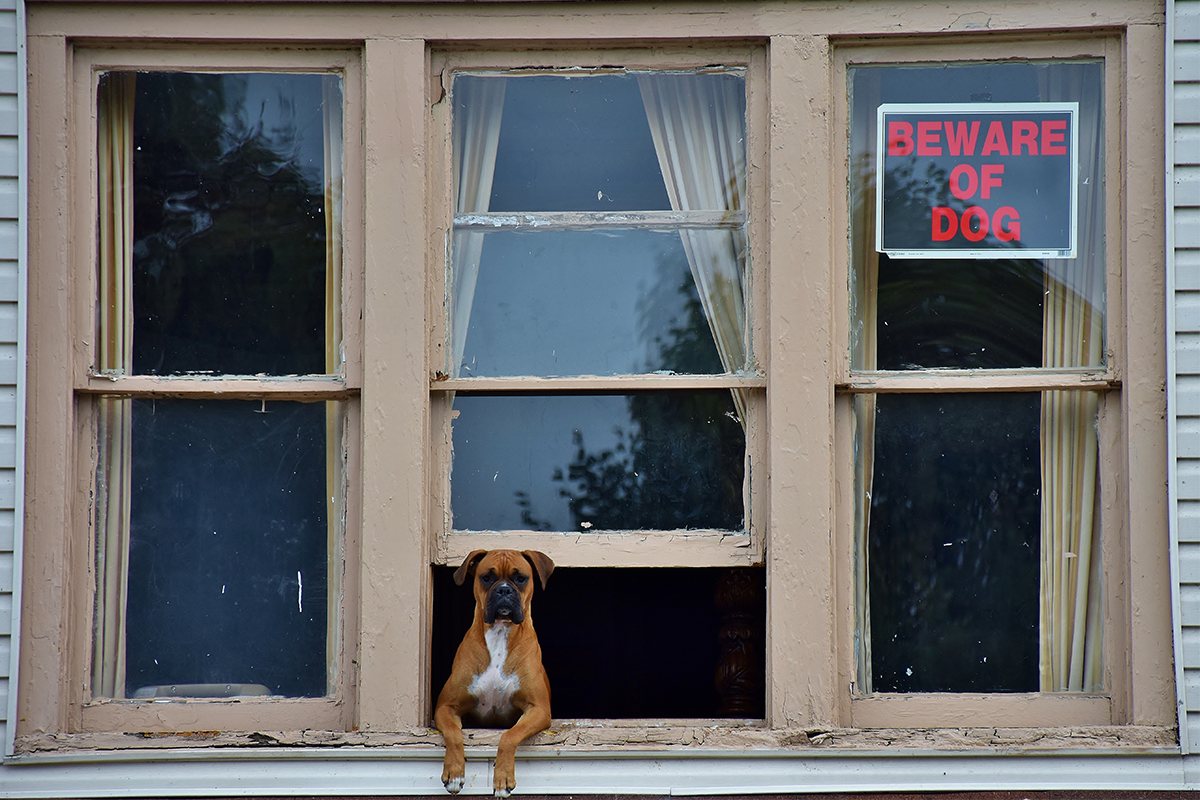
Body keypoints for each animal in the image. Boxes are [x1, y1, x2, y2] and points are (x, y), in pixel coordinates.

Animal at [434, 551, 554, 800]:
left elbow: (509, 735)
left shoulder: (538, 709)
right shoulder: (446, 707)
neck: (500, 632)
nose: (504, 590)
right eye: (487, 578)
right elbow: (453, 732)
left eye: (520, 578)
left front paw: (502, 779)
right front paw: (454, 773)